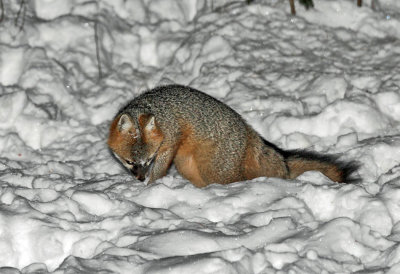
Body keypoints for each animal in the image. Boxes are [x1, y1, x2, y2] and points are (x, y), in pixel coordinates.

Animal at [107, 84, 356, 187]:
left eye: (147, 161)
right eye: (129, 162)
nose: (140, 180)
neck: (158, 112)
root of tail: (249, 130)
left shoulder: (168, 145)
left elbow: (159, 171)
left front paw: (151, 186)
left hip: (215, 171)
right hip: (190, 167)